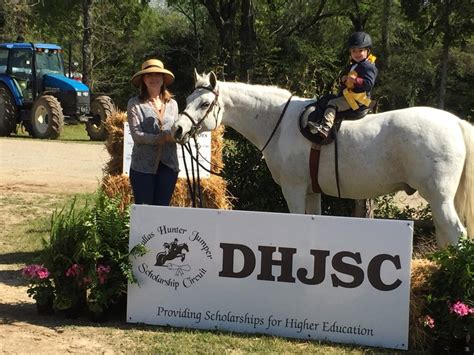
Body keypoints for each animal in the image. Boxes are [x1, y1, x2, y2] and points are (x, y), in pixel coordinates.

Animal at [173, 71, 474, 246]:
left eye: (204, 103)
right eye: (187, 99)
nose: (178, 129)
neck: (279, 123)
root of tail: (455, 122)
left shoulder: (293, 189)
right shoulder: (311, 190)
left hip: (438, 197)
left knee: (455, 232)